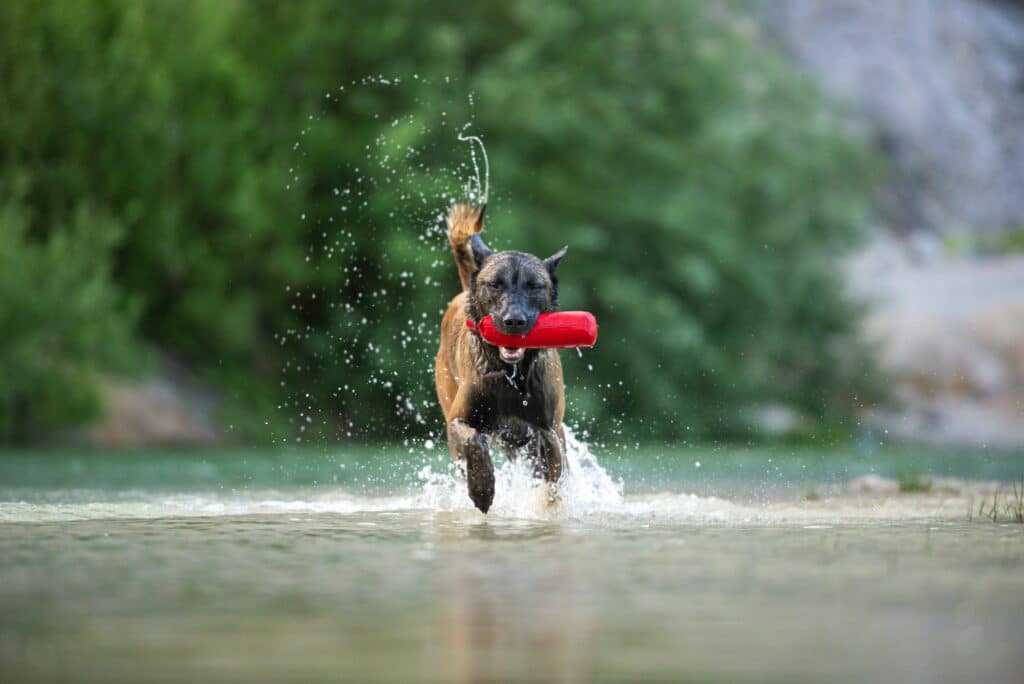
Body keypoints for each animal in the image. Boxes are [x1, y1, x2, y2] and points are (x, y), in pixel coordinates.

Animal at [432, 202, 569, 511]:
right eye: (495, 284)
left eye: (534, 286)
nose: (513, 321)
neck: (511, 376)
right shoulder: (458, 421)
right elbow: (473, 441)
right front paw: (482, 488)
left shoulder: (549, 428)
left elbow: (552, 472)